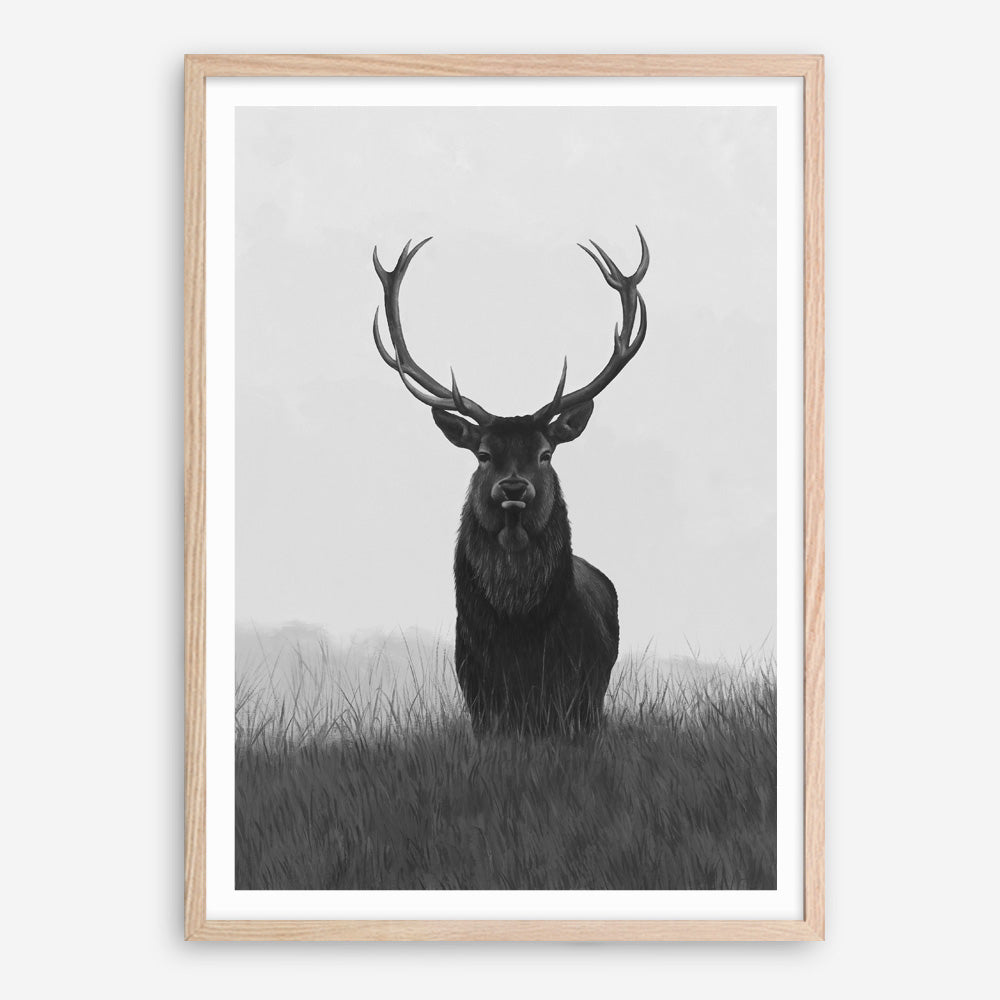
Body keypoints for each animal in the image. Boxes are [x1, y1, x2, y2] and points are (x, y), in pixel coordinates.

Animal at [372, 230, 650, 734]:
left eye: (545, 453)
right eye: (483, 455)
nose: (515, 488)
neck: (520, 637)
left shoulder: (579, 696)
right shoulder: (479, 694)